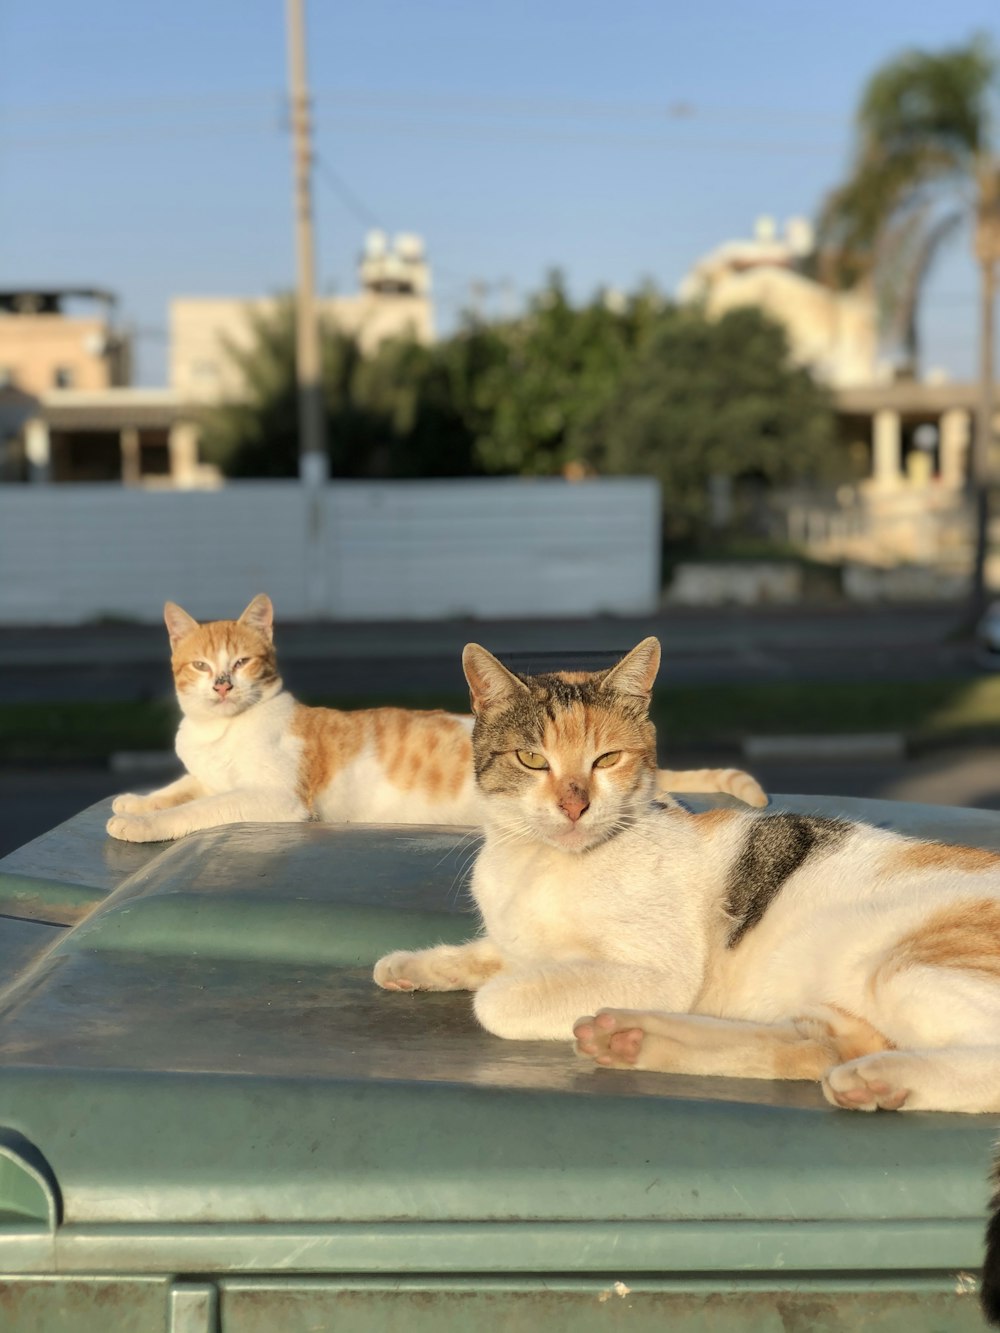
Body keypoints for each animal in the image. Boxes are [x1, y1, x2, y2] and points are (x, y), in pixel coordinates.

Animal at [106, 597, 768, 842]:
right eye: (199, 664)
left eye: (241, 661)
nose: (222, 684)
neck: (219, 732)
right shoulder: (205, 770)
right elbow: (183, 786)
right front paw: (136, 800)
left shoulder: (275, 797)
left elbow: (205, 805)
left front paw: (139, 824)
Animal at [376, 639, 1000, 1119]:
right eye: (532, 760)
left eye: (606, 760)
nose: (574, 805)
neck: (540, 864)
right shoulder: (515, 938)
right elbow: (491, 953)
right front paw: (414, 965)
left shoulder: (657, 972)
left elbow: (498, 997)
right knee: (816, 1045)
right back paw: (630, 1037)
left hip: (904, 970)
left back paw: (880, 1078)